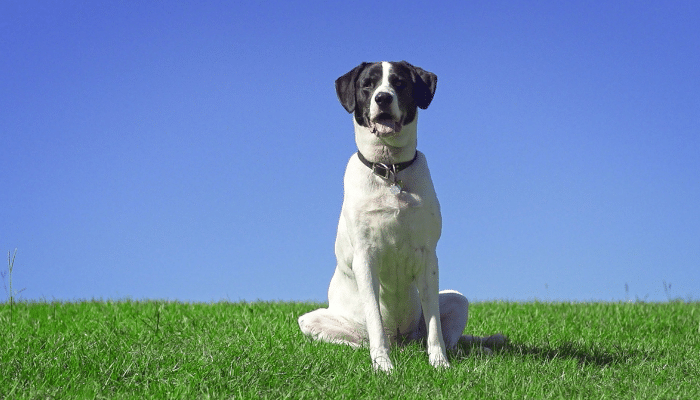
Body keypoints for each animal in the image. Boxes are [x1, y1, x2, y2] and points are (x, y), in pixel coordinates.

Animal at [296, 60, 504, 372]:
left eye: (400, 83)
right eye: (367, 84)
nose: (383, 98)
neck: (390, 169)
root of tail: (404, 341)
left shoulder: (428, 256)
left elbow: (435, 327)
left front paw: (439, 363)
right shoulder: (365, 258)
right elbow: (375, 320)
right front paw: (383, 366)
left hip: (457, 299)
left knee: (448, 336)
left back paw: (478, 348)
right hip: (310, 320)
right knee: (358, 339)